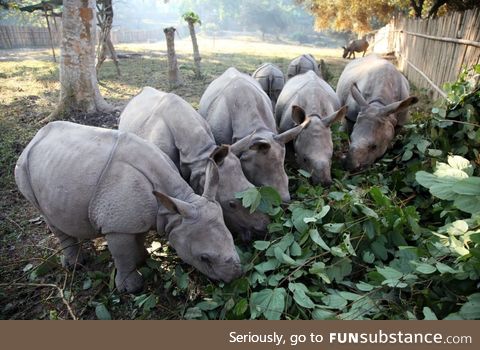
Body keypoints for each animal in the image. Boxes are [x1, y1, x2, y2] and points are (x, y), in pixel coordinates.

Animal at [15, 121, 242, 294]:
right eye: (204, 258)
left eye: (233, 238)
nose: (236, 275)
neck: (173, 208)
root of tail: (34, 138)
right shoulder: (117, 226)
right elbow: (122, 254)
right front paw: (131, 288)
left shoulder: (137, 216)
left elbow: (138, 238)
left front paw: (142, 258)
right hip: (22, 169)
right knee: (47, 216)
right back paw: (76, 265)